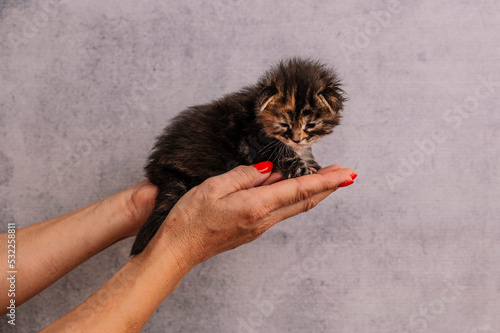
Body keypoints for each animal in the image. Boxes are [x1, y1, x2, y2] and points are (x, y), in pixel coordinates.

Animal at [131, 57, 346, 254]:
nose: (297, 139)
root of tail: (159, 165)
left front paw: (312, 162)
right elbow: (286, 155)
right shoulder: (256, 142)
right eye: (284, 124)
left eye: (310, 125)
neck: (259, 115)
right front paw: (303, 170)